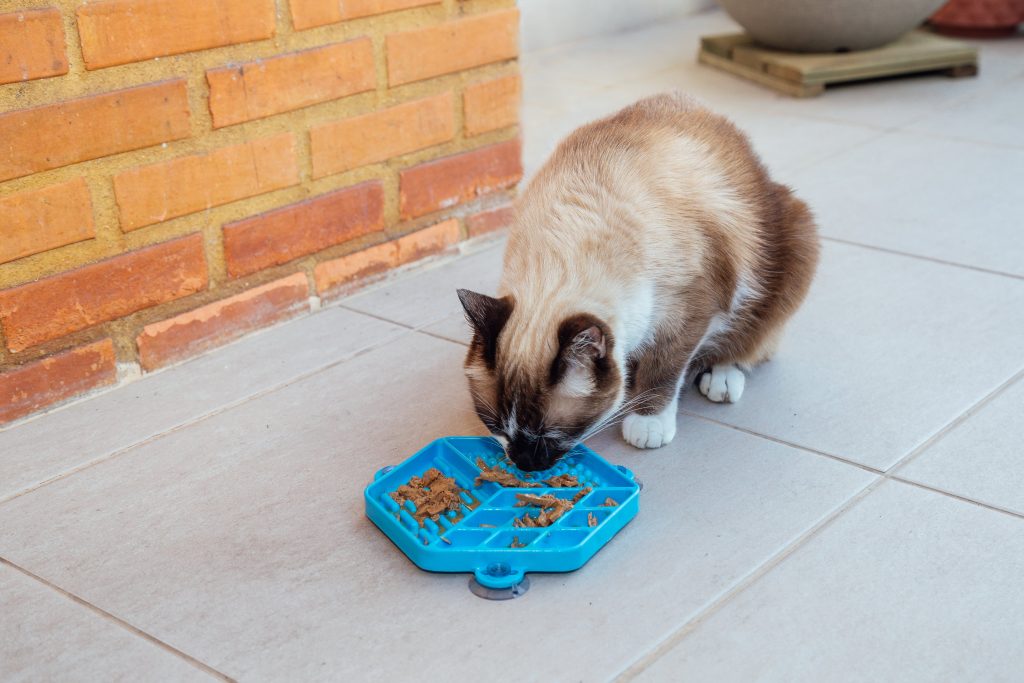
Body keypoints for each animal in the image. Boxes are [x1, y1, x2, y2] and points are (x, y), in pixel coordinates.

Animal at [460, 93, 819, 473]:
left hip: (797, 239)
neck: (565, 259)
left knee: (748, 341)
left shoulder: (688, 314)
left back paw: (722, 377)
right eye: (497, 427)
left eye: (549, 434)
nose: (524, 464)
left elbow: (664, 370)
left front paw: (649, 423)